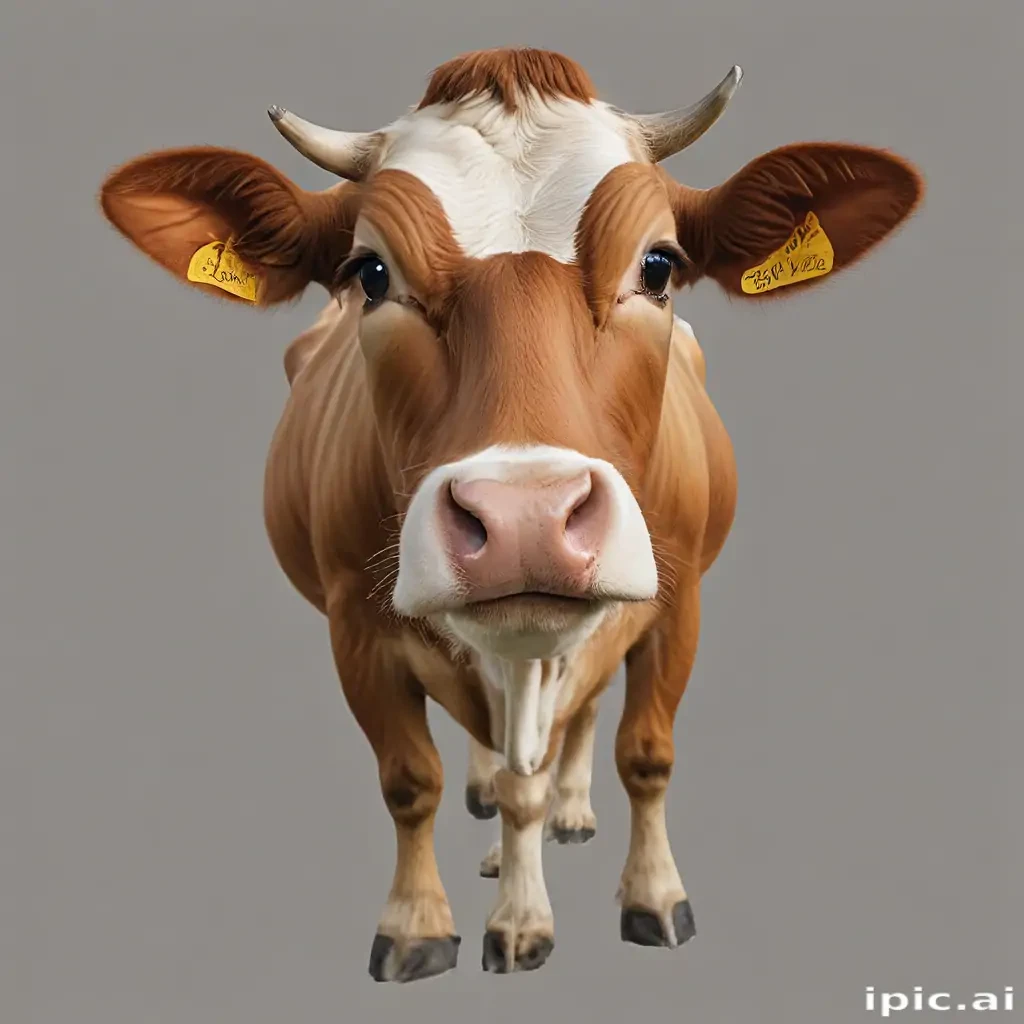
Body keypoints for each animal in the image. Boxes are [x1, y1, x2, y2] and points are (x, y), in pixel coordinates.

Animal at [98, 47, 924, 982]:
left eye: (659, 266)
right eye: (370, 274)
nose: (525, 516)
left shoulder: (679, 601)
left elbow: (645, 752)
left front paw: (648, 897)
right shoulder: (354, 625)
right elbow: (409, 779)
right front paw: (420, 925)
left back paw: (562, 812)